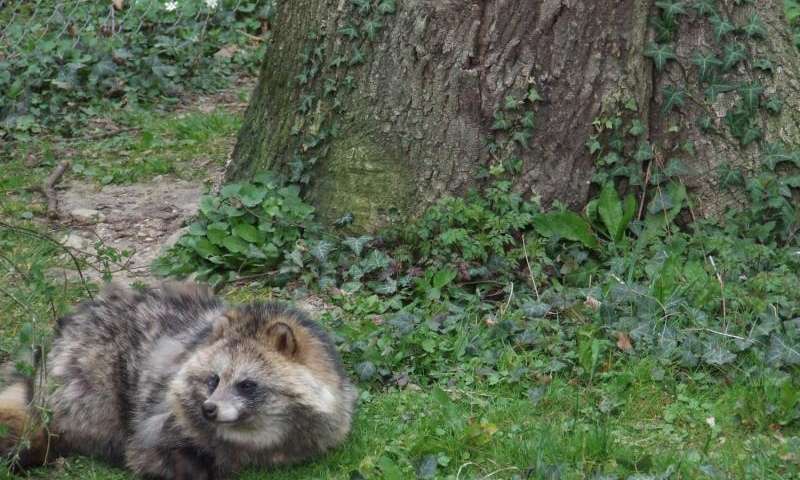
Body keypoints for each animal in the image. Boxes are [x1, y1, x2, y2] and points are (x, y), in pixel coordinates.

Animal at [0, 282, 358, 479]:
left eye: (246, 384)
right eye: (213, 380)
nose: (209, 409)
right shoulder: (159, 419)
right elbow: (148, 453)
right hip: (87, 379)